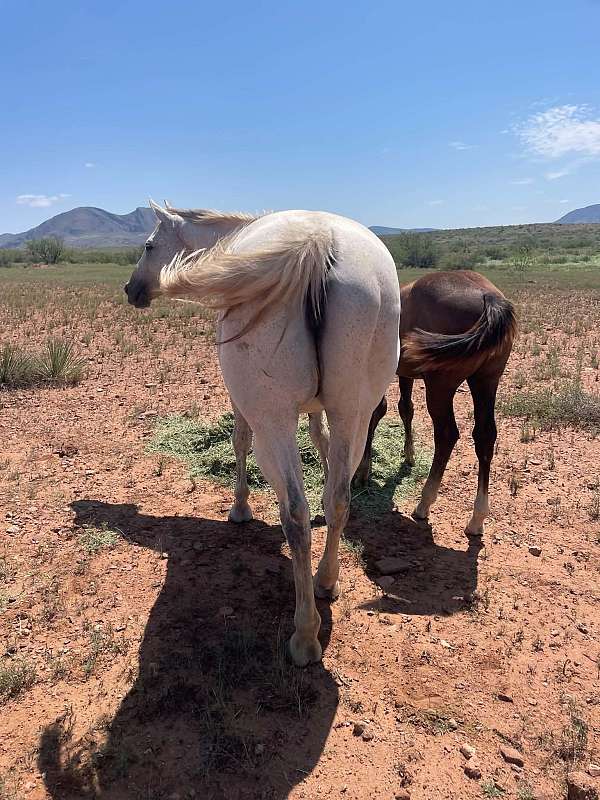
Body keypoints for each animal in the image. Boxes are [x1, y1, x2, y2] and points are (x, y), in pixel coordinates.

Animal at [125, 201, 400, 665]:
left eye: (148, 245)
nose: (131, 290)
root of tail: (318, 241)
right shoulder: (322, 412)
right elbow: (323, 447)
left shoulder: (244, 404)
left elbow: (239, 442)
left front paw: (240, 509)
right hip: (355, 413)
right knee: (339, 498)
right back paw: (326, 580)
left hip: (273, 421)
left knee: (295, 514)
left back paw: (304, 635)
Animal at [355, 270, 516, 537]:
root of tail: (487, 296)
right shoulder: (404, 374)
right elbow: (405, 408)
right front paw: (408, 455)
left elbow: (376, 412)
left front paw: (362, 471)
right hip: (486, 381)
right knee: (485, 436)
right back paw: (477, 519)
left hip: (440, 387)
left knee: (446, 435)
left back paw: (424, 504)